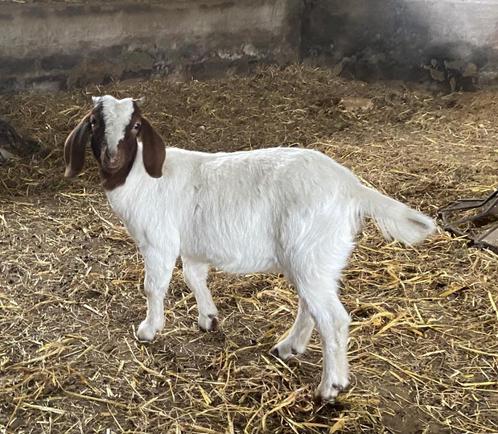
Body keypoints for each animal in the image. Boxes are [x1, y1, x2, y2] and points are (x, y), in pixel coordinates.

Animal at [63, 96, 436, 402]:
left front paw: (149, 329)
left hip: (309, 253)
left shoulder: (159, 241)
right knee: (311, 305)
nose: (112, 158)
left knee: (333, 319)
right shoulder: (192, 245)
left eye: (136, 125)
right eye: (94, 122)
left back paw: (331, 386)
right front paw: (208, 318)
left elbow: (153, 287)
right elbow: (194, 277)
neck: (141, 178)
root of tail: (351, 186)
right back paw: (290, 346)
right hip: (309, 259)